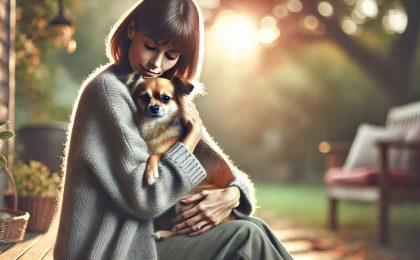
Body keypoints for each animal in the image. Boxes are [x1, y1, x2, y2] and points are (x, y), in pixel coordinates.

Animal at [124, 72, 236, 241]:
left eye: (166, 98)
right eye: (144, 97)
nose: (154, 107)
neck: (155, 127)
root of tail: (230, 217)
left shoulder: (168, 152)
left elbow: (155, 155)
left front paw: (150, 173)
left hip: (185, 200)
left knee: (180, 229)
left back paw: (162, 233)